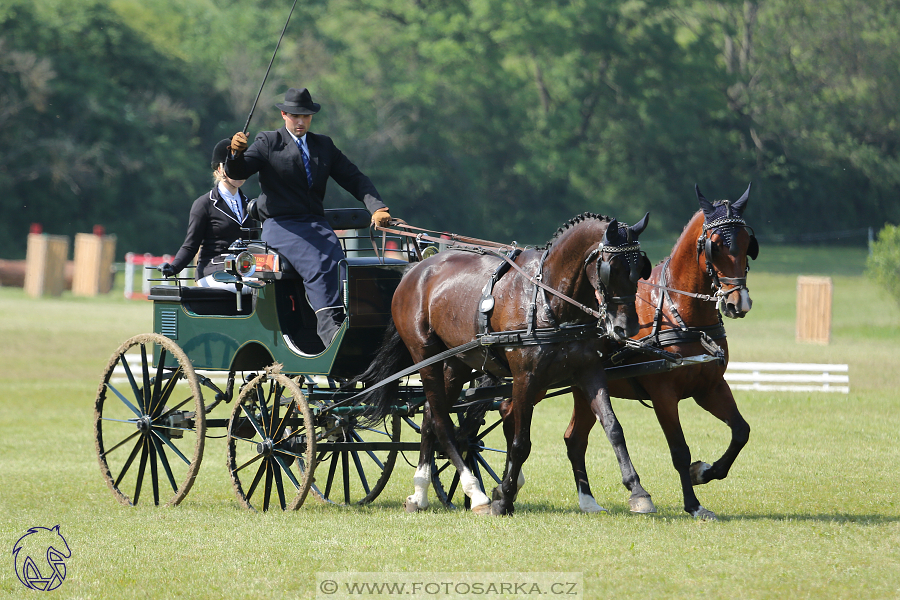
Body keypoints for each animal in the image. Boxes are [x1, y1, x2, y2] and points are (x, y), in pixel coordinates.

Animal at [360, 212, 652, 516]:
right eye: (611, 268)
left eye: (640, 268)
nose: (627, 328)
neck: (548, 299)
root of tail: (415, 270)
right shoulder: (526, 377)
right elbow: (520, 442)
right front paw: (503, 498)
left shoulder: (589, 371)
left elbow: (613, 428)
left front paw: (638, 492)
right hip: (425, 356)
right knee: (441, 421)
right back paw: (475, 492)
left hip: (456, 362)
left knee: (430, 414)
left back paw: (419, 493)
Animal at [568, 184, 760, 520]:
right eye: (715, 246)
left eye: (748, 244)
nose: (739, 303)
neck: (679, 312)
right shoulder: (663, 395)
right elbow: (680, 451)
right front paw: (693, 504)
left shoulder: (710, 387)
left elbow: (741, 431)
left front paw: (704, 472)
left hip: (584, 389)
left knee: (574, 439)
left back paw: (587, 500)